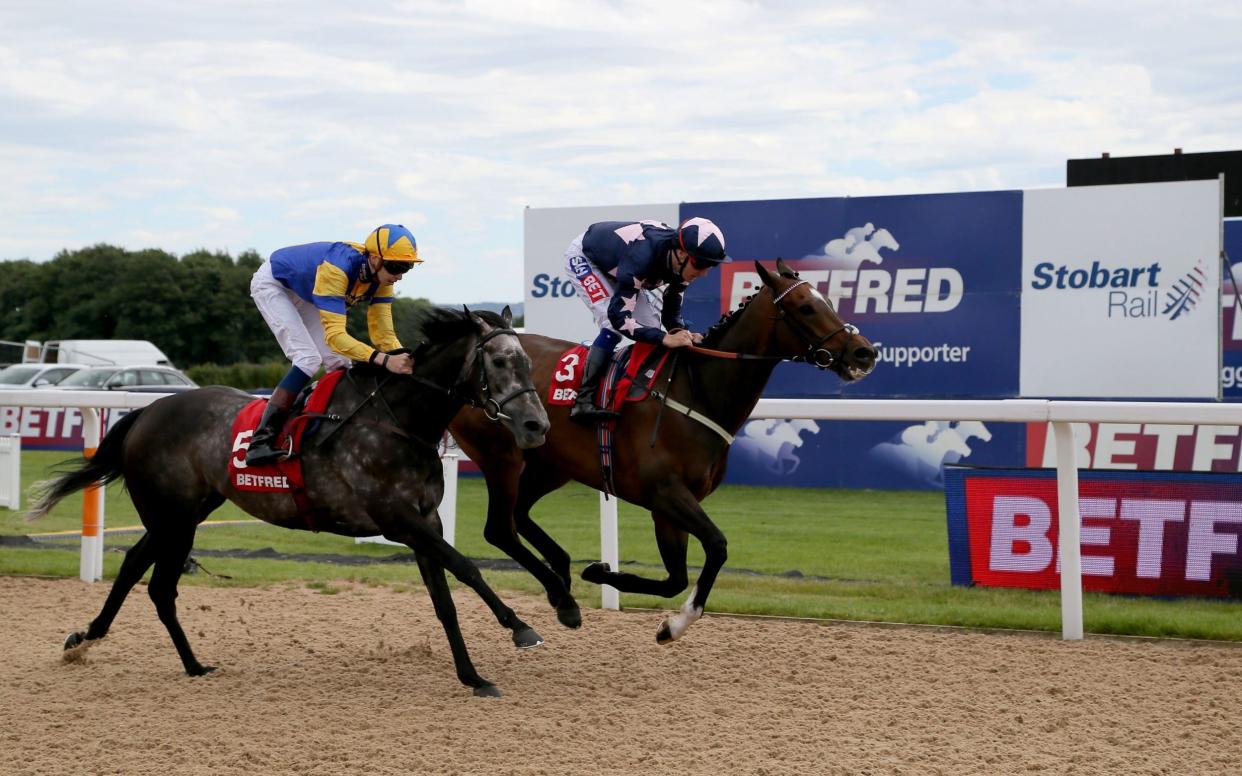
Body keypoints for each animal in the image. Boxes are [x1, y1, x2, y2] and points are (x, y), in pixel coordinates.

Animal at [27, 306, 548, 695]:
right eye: (500, 362)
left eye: (526, 362)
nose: (536, 425)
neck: (398, 421)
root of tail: (147, 410)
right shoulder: (398, 520)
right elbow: (467, 567)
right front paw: (520, 627)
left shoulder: (426, 522)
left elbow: (444, 600)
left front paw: (472, 676)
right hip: (171, 516)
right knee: (152, 579)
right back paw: (116, 646)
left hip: (186, 514)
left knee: (142, 570)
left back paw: (154, 655)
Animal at [452, 260, 879, 640]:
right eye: (806, 306)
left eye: (828, 300)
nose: (864, 353)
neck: (697, 390)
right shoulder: (665, 493)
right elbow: (717, 547)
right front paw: (674, 624)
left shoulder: (670, 507)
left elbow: (676, 577)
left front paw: (604, 575)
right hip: (503, 458)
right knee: (500, 528)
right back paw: (560, 592)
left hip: (550, 466)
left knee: (519, 517)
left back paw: (562, 578)